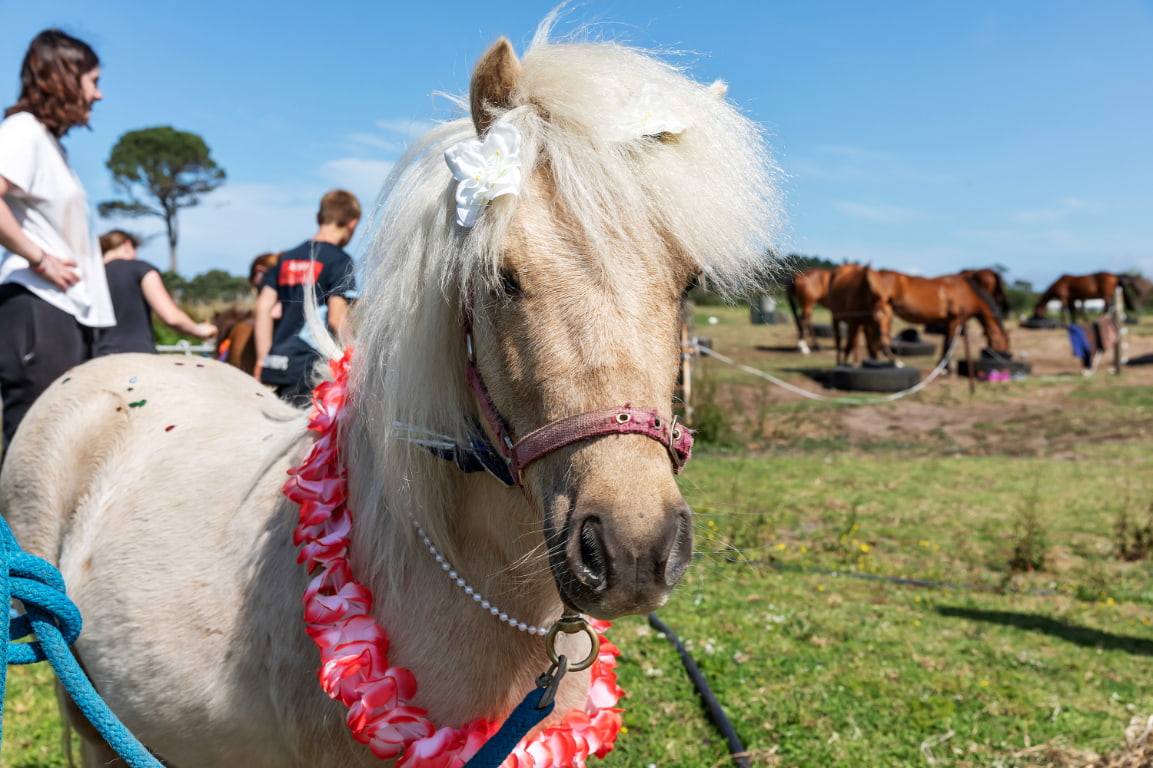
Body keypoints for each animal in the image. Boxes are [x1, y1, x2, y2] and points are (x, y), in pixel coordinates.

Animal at [871, 270, 1010, 368]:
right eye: (1003, 346)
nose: (1002, 358)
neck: (967, 292)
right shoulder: (955, 320)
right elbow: (949, 343)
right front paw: (946, 368)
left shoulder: (948, 321)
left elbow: (945, 343)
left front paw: (941, 366)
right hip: (885, 311)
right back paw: (895, 361)